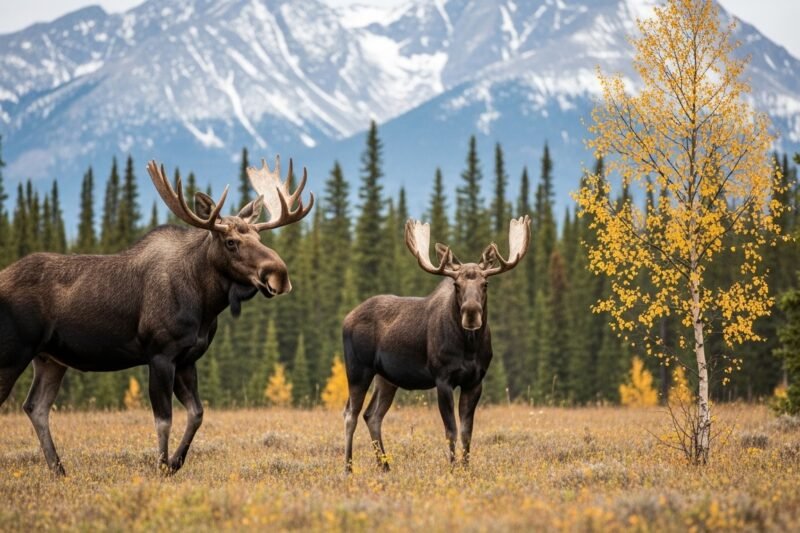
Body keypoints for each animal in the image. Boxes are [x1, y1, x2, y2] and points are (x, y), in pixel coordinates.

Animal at [0, 156, 312, 476]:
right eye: (230, 242)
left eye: (259, 236)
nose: (279, 274)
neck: (204, 303)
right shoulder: (160, 354)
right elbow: (164, 419)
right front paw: (161, 466)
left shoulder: (187, 359)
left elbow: (197, 413)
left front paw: (175, 462)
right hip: (13, 352)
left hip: (50, 358)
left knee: (35, 406)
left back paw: (59, 470)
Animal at [341, 216, 531, 472]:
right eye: (456, 285)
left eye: (485, 284)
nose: (471, 313)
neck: (468, 348)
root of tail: (346, 319)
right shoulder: (443, 378)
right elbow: (451, 430)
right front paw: (452, 468)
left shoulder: (475, 381)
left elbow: (467, 432)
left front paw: (466, 469)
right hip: (358, 369)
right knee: (350, 414)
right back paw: (349, 468)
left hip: (387, 377)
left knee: (372, 415)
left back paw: (385, 467)